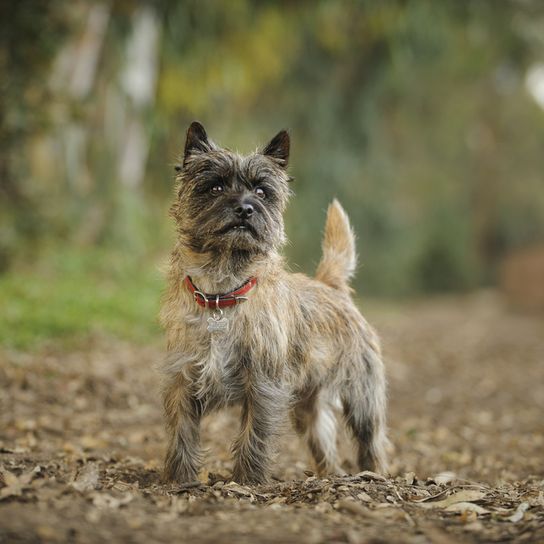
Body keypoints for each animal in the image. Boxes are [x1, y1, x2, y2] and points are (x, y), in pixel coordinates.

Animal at [159, 121, 388, 482]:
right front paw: (179, 479)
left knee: (371, 440)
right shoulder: (182, 378)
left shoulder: (263, 386)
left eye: (262, 192)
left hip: (362, 397)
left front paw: (247, 480)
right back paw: (329, 475)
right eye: (215, 187)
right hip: (309, 407)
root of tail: (330, 285)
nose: (245, 208)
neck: (222, 291)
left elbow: (254, 434)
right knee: (324, 444)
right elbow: (181, 431)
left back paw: (373, 474)